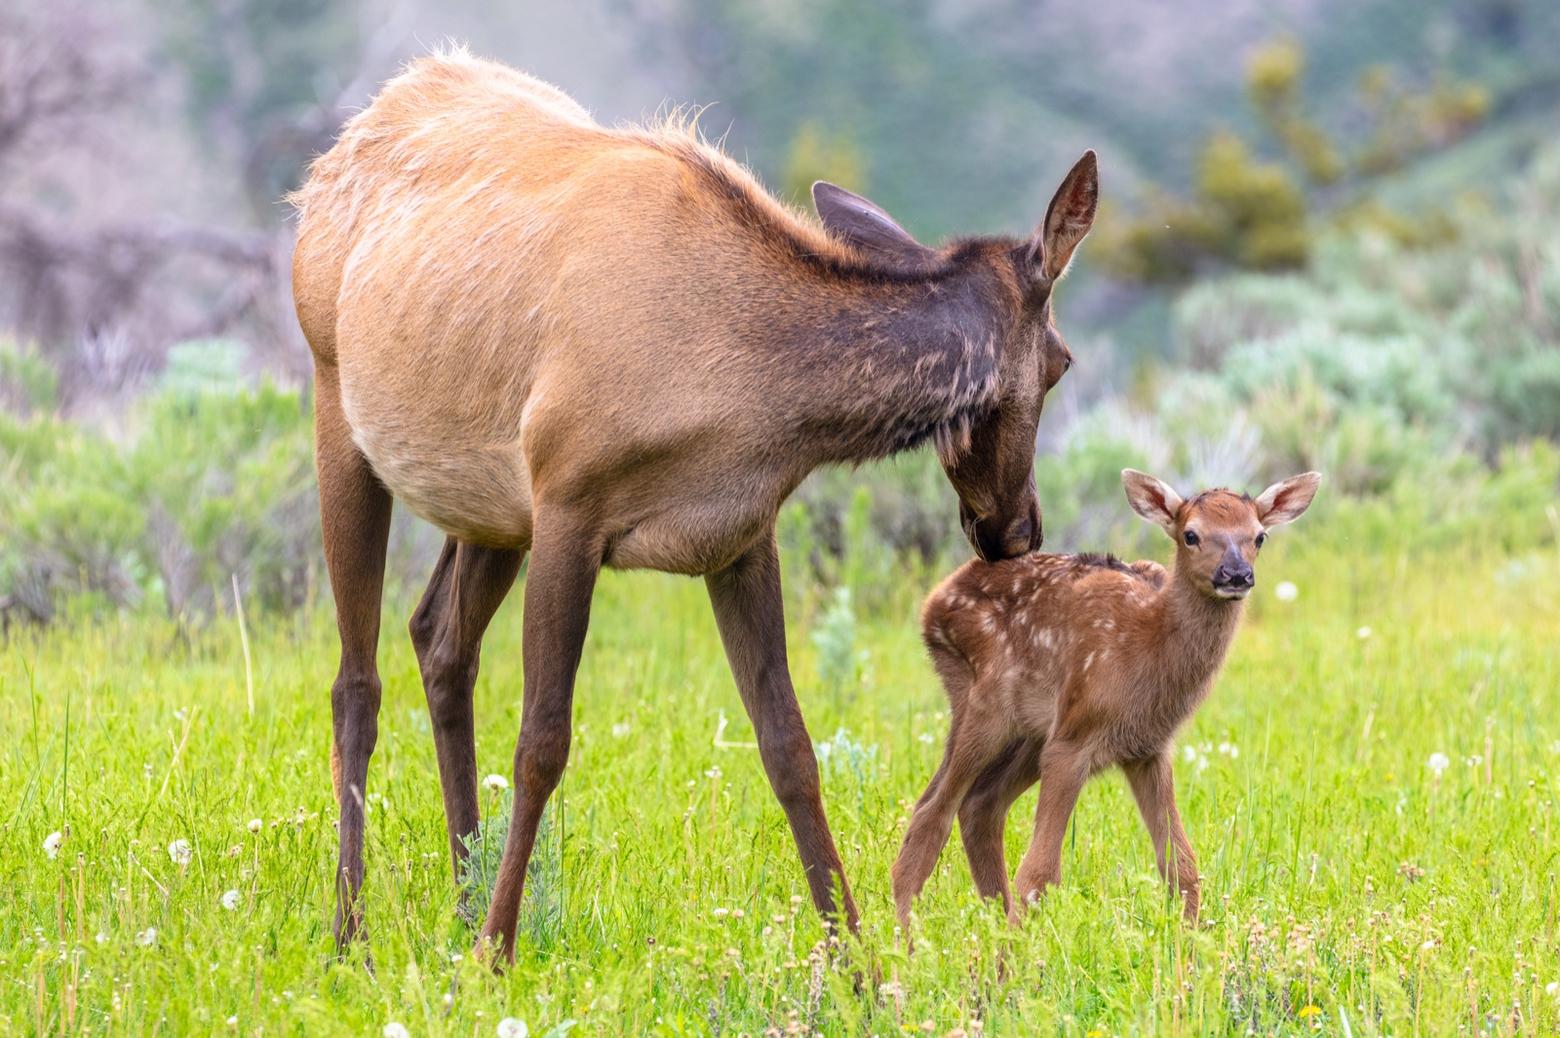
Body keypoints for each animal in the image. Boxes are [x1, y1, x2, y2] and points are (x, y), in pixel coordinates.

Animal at [293, 46, 1098, 955]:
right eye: (1062, 362)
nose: (1017, 529)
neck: (750, 391)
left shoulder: (740, 535)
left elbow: (790, 748)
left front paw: (855, 961)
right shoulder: (569, 501)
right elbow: (542, 743)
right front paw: (499, 951)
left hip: (492, 503)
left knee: (439, 641)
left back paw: (460, 905)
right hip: (339, 402)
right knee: (357, 683)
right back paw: (353, 930)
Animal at [898, 465, 1322, 924]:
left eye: (1259, 536)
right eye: (1190, 534)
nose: (1236, 574)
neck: (1145, 650)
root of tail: (933, 604)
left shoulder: (1148, 749)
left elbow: (1182, 866)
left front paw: (1191, 945)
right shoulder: (1072, 739)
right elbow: (1039, 873)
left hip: (1030, 731)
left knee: (979, 805)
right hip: (986, 704)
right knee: (931, 813)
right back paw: (905, 935)